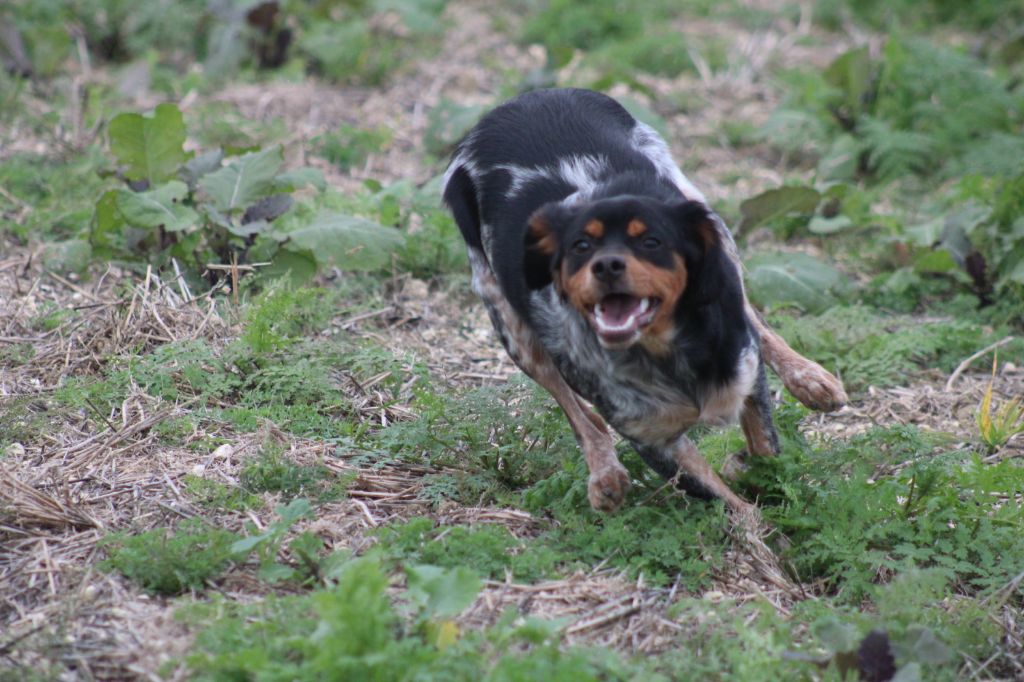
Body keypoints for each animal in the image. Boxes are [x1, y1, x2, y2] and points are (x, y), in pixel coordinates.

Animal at [442, 88, 846, 514]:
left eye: (652, 241)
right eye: (579, 246)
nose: (607, 266)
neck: (664, 350)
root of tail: (522, 99)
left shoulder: (745, 373)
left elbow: (764, 450)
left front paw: (756, 476)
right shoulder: (653, 441)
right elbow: (727, 502)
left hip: (708, 220)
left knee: (755, 318)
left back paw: (811, 379)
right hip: (509, 321)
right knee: (577, 412)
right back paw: (605, 475)